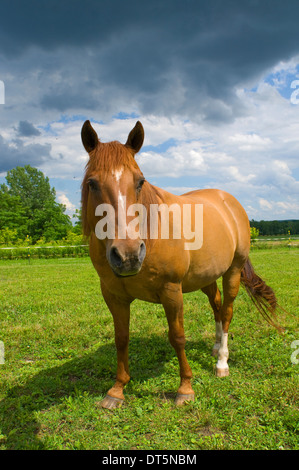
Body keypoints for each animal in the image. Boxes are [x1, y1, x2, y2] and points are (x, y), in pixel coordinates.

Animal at [79, 120, 282, 408]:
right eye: (92, 183)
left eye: (140, 181)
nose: (128, 255)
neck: (151, 231)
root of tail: (229, 202)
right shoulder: (113, 295)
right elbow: (121, 339)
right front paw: (117, 390)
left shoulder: (171, 292)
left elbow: (177, 337)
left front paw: (185, 388)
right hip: (207, 276)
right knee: (217, 305)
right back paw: (216, 347)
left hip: (233, 271)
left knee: (227, 311)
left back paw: (222, 362)